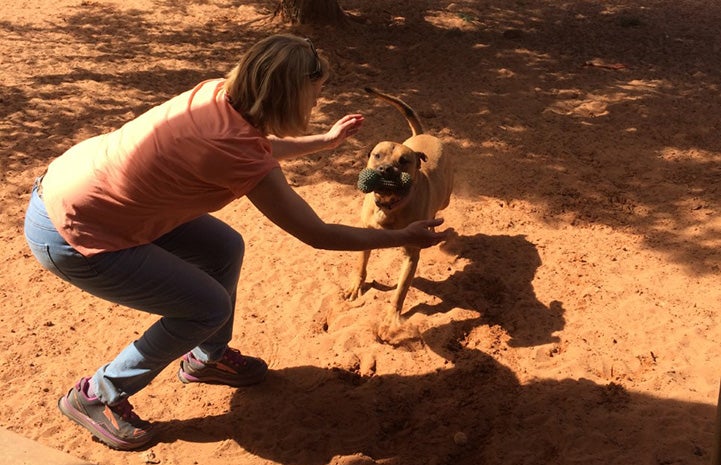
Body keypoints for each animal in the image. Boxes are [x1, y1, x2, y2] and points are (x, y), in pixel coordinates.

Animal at [346, 86, 452, 326]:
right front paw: (356, 286)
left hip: (446, 198)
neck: (389, 206)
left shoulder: (412, 254)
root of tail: (423, 134)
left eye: (404, 161)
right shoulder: (365, 235)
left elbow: (401, 289)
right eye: (377, 155)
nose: (386, 169)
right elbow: (360, 265)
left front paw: (392, 317)